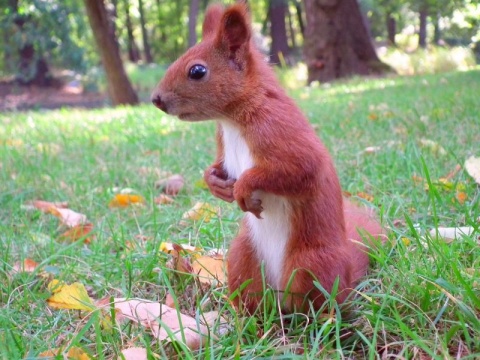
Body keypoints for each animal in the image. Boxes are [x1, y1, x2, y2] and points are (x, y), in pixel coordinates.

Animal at [150, 2, 382, 312]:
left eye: (197, 71)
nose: (156, 99)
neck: (232, 119)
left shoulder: (277, 128)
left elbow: (300, 169)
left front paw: (243, 188)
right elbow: (218, 167)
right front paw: (215, 183)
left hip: (311, 263)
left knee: (318, 303)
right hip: (242, 256)